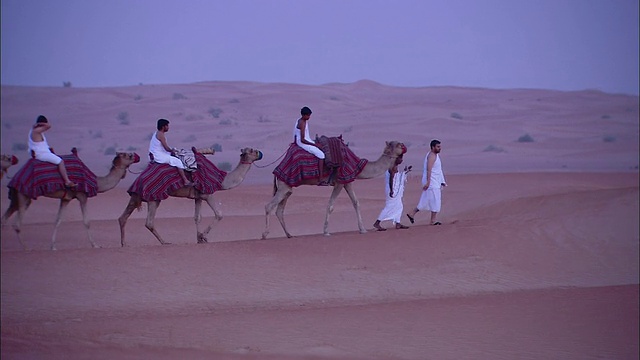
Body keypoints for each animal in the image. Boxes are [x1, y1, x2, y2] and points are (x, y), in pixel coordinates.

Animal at [1, 150, 141, 250]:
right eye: (129, 155)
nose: (138, 156)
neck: (96, 181)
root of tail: (15, 177)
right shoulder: (82, 195)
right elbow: (87, 221)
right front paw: (95, 245)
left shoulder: (65, 199)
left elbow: (58, 220)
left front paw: (53, 246)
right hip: (24, 195)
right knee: (16, 224)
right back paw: (26, 248)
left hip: (16, 197)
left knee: (5, 218)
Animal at [117, 148, 262, 246]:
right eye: (252, 150)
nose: (260, 153)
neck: (221, 180)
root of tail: (139, 178)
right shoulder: (208, 193)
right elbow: (219, 214)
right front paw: (203, 236)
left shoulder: (198, 197)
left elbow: (197, 218)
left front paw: (199, 239)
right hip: (154, 197)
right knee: (149, 222)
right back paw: (164, 242)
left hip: (136, 195)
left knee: (123, 217)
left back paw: (124, 243)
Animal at [262, 141, 408, 239]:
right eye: (399, 145)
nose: (405, 146)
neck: (357, 165)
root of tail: (277, 167)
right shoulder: (339, 182)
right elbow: (331, 205)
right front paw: (326, 231)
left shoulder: (347, 181)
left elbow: (356, 203)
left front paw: (362, 229)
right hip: (283, 186)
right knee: (269, 206)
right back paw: (264, 234)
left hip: (287, 187)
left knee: (280, 209)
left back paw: (289, 234)